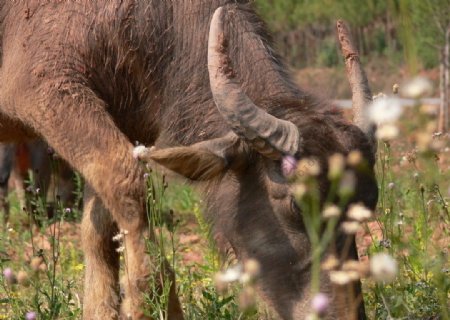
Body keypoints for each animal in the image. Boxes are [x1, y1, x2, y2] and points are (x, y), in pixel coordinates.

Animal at [0, 1, 378, 318]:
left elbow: (100, 229)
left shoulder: (130, 122)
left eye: (368, 204)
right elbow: (128, 181)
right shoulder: (46, 91)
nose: (342, 313)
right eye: (297, 204)